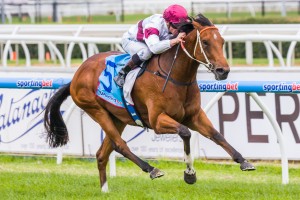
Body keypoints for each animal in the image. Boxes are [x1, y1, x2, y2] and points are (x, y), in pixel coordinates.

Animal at [44, 14, 255, 192]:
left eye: (222, 42)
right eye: (205, 42)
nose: (223, 71)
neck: (176, 76)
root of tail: (77, 74)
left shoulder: (194, 115)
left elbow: (216, 134)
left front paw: (243, 161)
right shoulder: (157, 121)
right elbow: (186, 133)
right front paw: (189, 174)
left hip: (117, 118)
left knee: (102, 154)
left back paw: (105, 191)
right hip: (96, 110)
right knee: (120, 145)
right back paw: (152, 169)